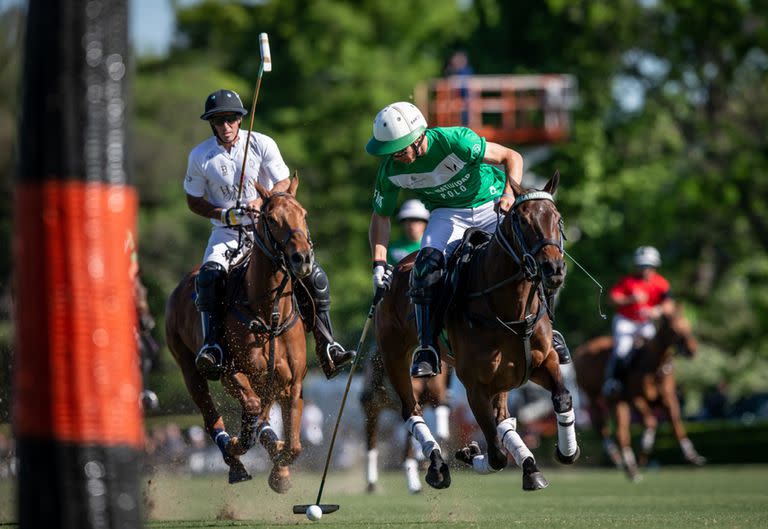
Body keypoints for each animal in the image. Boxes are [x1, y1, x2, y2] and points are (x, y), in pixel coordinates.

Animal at [166, 177, 310, 490]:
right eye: (272, 219)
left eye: (303, 214)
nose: (303, 258)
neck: (270, 315)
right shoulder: (231, 372)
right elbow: (252, 411)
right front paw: (236, 444)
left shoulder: (291, 384)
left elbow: (294, 446)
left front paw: (280, 469)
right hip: (190, 370)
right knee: (212, 417)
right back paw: (234, 461)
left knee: (263, 418)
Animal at [376, 173, 580, 490]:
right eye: (523, 221)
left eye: (557, 219)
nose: (554, 269)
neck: (511, 309)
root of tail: (399, 266)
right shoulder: (475, 386)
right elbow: (496, 455)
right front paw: (468, 453)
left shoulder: (541, 363)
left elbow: (562, 397)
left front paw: (566, 451)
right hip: (394, 355)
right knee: (412, 411)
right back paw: (437, 466)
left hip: (505, 377)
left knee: (505, 419)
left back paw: (530, 467)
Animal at [572, 300, 704, 480]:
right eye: (674, 329)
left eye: (688, 326)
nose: (692, 350)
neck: (654, 365)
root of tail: (582, 349)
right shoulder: (636, 398)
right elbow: (651, 422)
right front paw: (642, 455)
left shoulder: (668, 399)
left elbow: (676, 424)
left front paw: (692, 456)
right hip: (593, 396)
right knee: (601, 426)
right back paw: (620, 460)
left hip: (617, 402)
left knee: (621, 432)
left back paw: (629, 466)